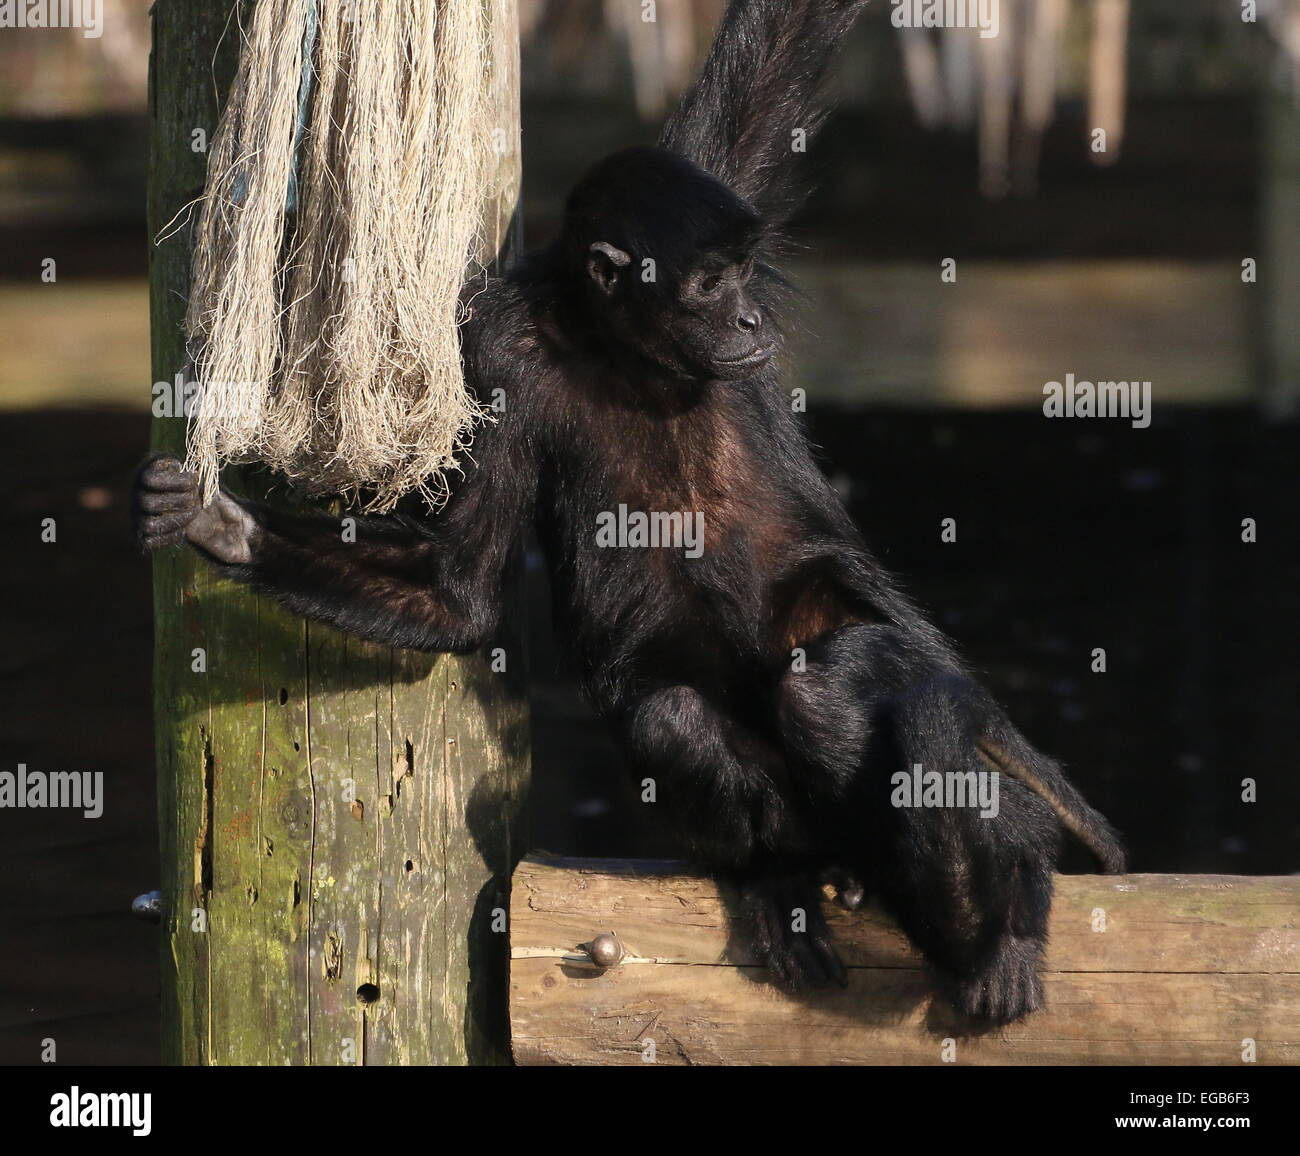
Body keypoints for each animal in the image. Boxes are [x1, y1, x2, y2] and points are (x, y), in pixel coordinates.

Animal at [137, 2, 1123, 1029]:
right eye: (709, 284)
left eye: (742, 273)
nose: (746, 320)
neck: (624, 353)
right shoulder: (499, 351)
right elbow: (460, 594)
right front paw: (222, 527)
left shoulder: (719, 181)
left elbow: (778, 44)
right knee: (675, 717)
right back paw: (786, 876)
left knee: (850, 681)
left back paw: (1000, 927)